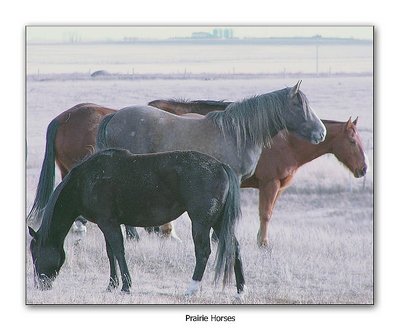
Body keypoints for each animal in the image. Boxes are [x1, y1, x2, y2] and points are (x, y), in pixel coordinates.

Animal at [28, 149, 242, 296]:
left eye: (35, 253)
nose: (40, 284)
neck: (84, 181)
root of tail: (221, 166)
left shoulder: (108, 223)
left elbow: (118, 250)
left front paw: (125, 286)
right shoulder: (107, 224)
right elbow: (110, 253)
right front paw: (111, 285)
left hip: (201, 223)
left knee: (203, 252)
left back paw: (192, 288)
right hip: (219, 222)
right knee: (235, 247)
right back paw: (240, 290)